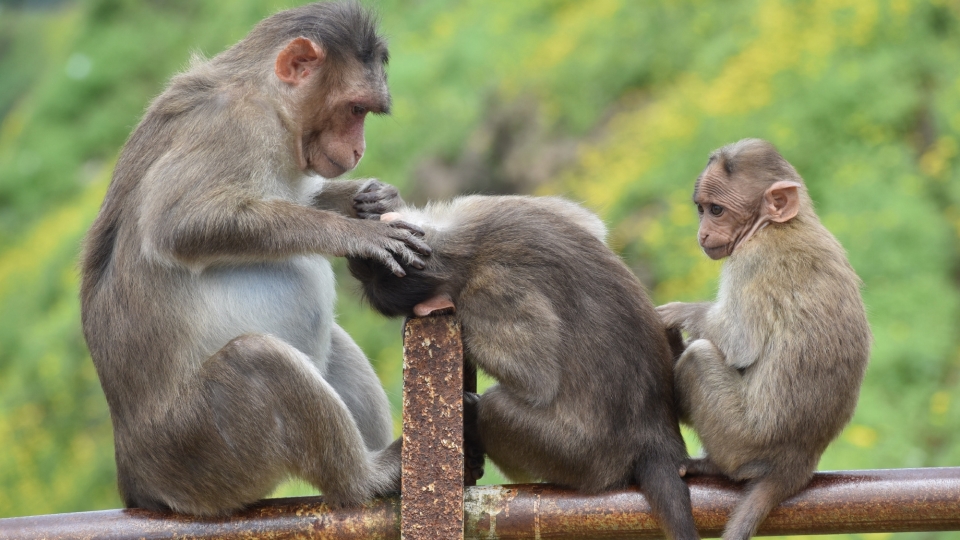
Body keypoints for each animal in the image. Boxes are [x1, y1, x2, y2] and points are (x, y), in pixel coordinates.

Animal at [78, 1, 432, 516]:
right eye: (354, 109)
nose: (358, 149)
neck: (269, 102)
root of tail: (137, 476)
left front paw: (372, 199)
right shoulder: (233, 126)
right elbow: (179, 223)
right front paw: (356, 233)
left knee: (332, 342)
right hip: (201, 449)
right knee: (260, 360)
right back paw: (366, 477)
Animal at [348, 194, 700, 540]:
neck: (462, 246)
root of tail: (657, 438)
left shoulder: (489, 291)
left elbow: (537, 380)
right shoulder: (480, 206)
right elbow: (592, 227)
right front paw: (380, 204)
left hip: (580, 458)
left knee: (495, 408)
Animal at [660, 138, 872, 540]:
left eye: (717, 210)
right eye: (701, 209)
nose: (702, 234)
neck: (777, 224)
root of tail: (798, 462)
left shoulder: (750, 261)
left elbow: (739, 343)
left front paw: (677, 314)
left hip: (743, 440)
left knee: (698, 358)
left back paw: (714, 465)